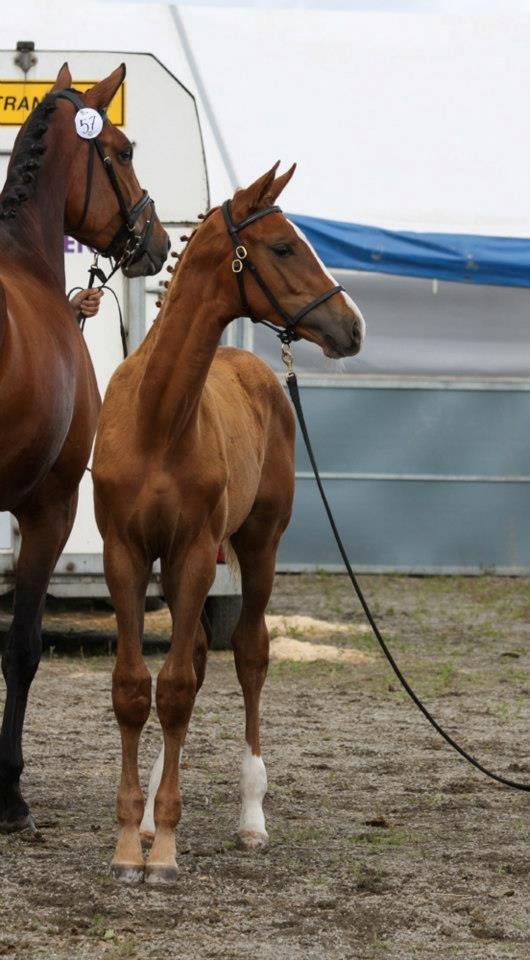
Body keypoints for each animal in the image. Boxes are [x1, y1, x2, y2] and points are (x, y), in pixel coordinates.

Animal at [92, 163, 364, 884]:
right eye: (284, 246)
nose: (353, 327)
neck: (159, 417)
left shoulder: (191, 551)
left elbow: (178, 689)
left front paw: (163, 853)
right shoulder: (126, 555)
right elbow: (136, 688)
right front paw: (131, 841)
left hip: (256, 545)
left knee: (248, 655)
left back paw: (250, 819)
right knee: (191, 659)